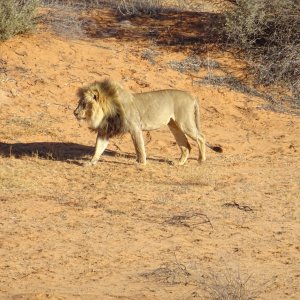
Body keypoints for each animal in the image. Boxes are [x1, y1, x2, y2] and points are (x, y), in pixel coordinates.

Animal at [74, 78, 221, 165]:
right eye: (80, 103)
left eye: (84, 104)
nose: (74, 113)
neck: (106, 111)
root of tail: (192, 96)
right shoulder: (105, 130)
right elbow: (98, 147)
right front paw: (91, 162)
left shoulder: (135, 128)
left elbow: (139, 147)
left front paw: (141, 163)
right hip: (174, 125)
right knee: (186, 145)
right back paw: (179, 162)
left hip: (185, 123)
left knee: (201, 137)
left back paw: (201, 159)